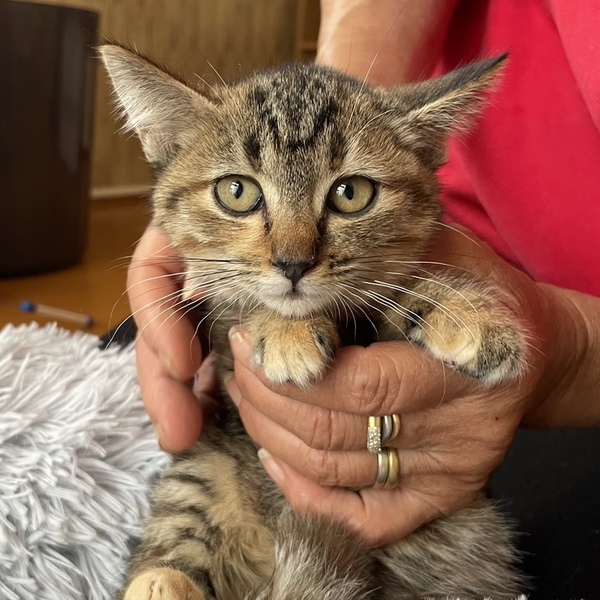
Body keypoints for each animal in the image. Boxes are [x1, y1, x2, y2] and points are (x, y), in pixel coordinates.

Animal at [101, 44, 528, 600]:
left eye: (352, 193)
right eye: (236, 191)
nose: (293, 263)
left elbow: (400, 294)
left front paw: (471, 314)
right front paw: (285, 331)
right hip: (204, 468)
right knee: (173, 548)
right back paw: (161, 582)